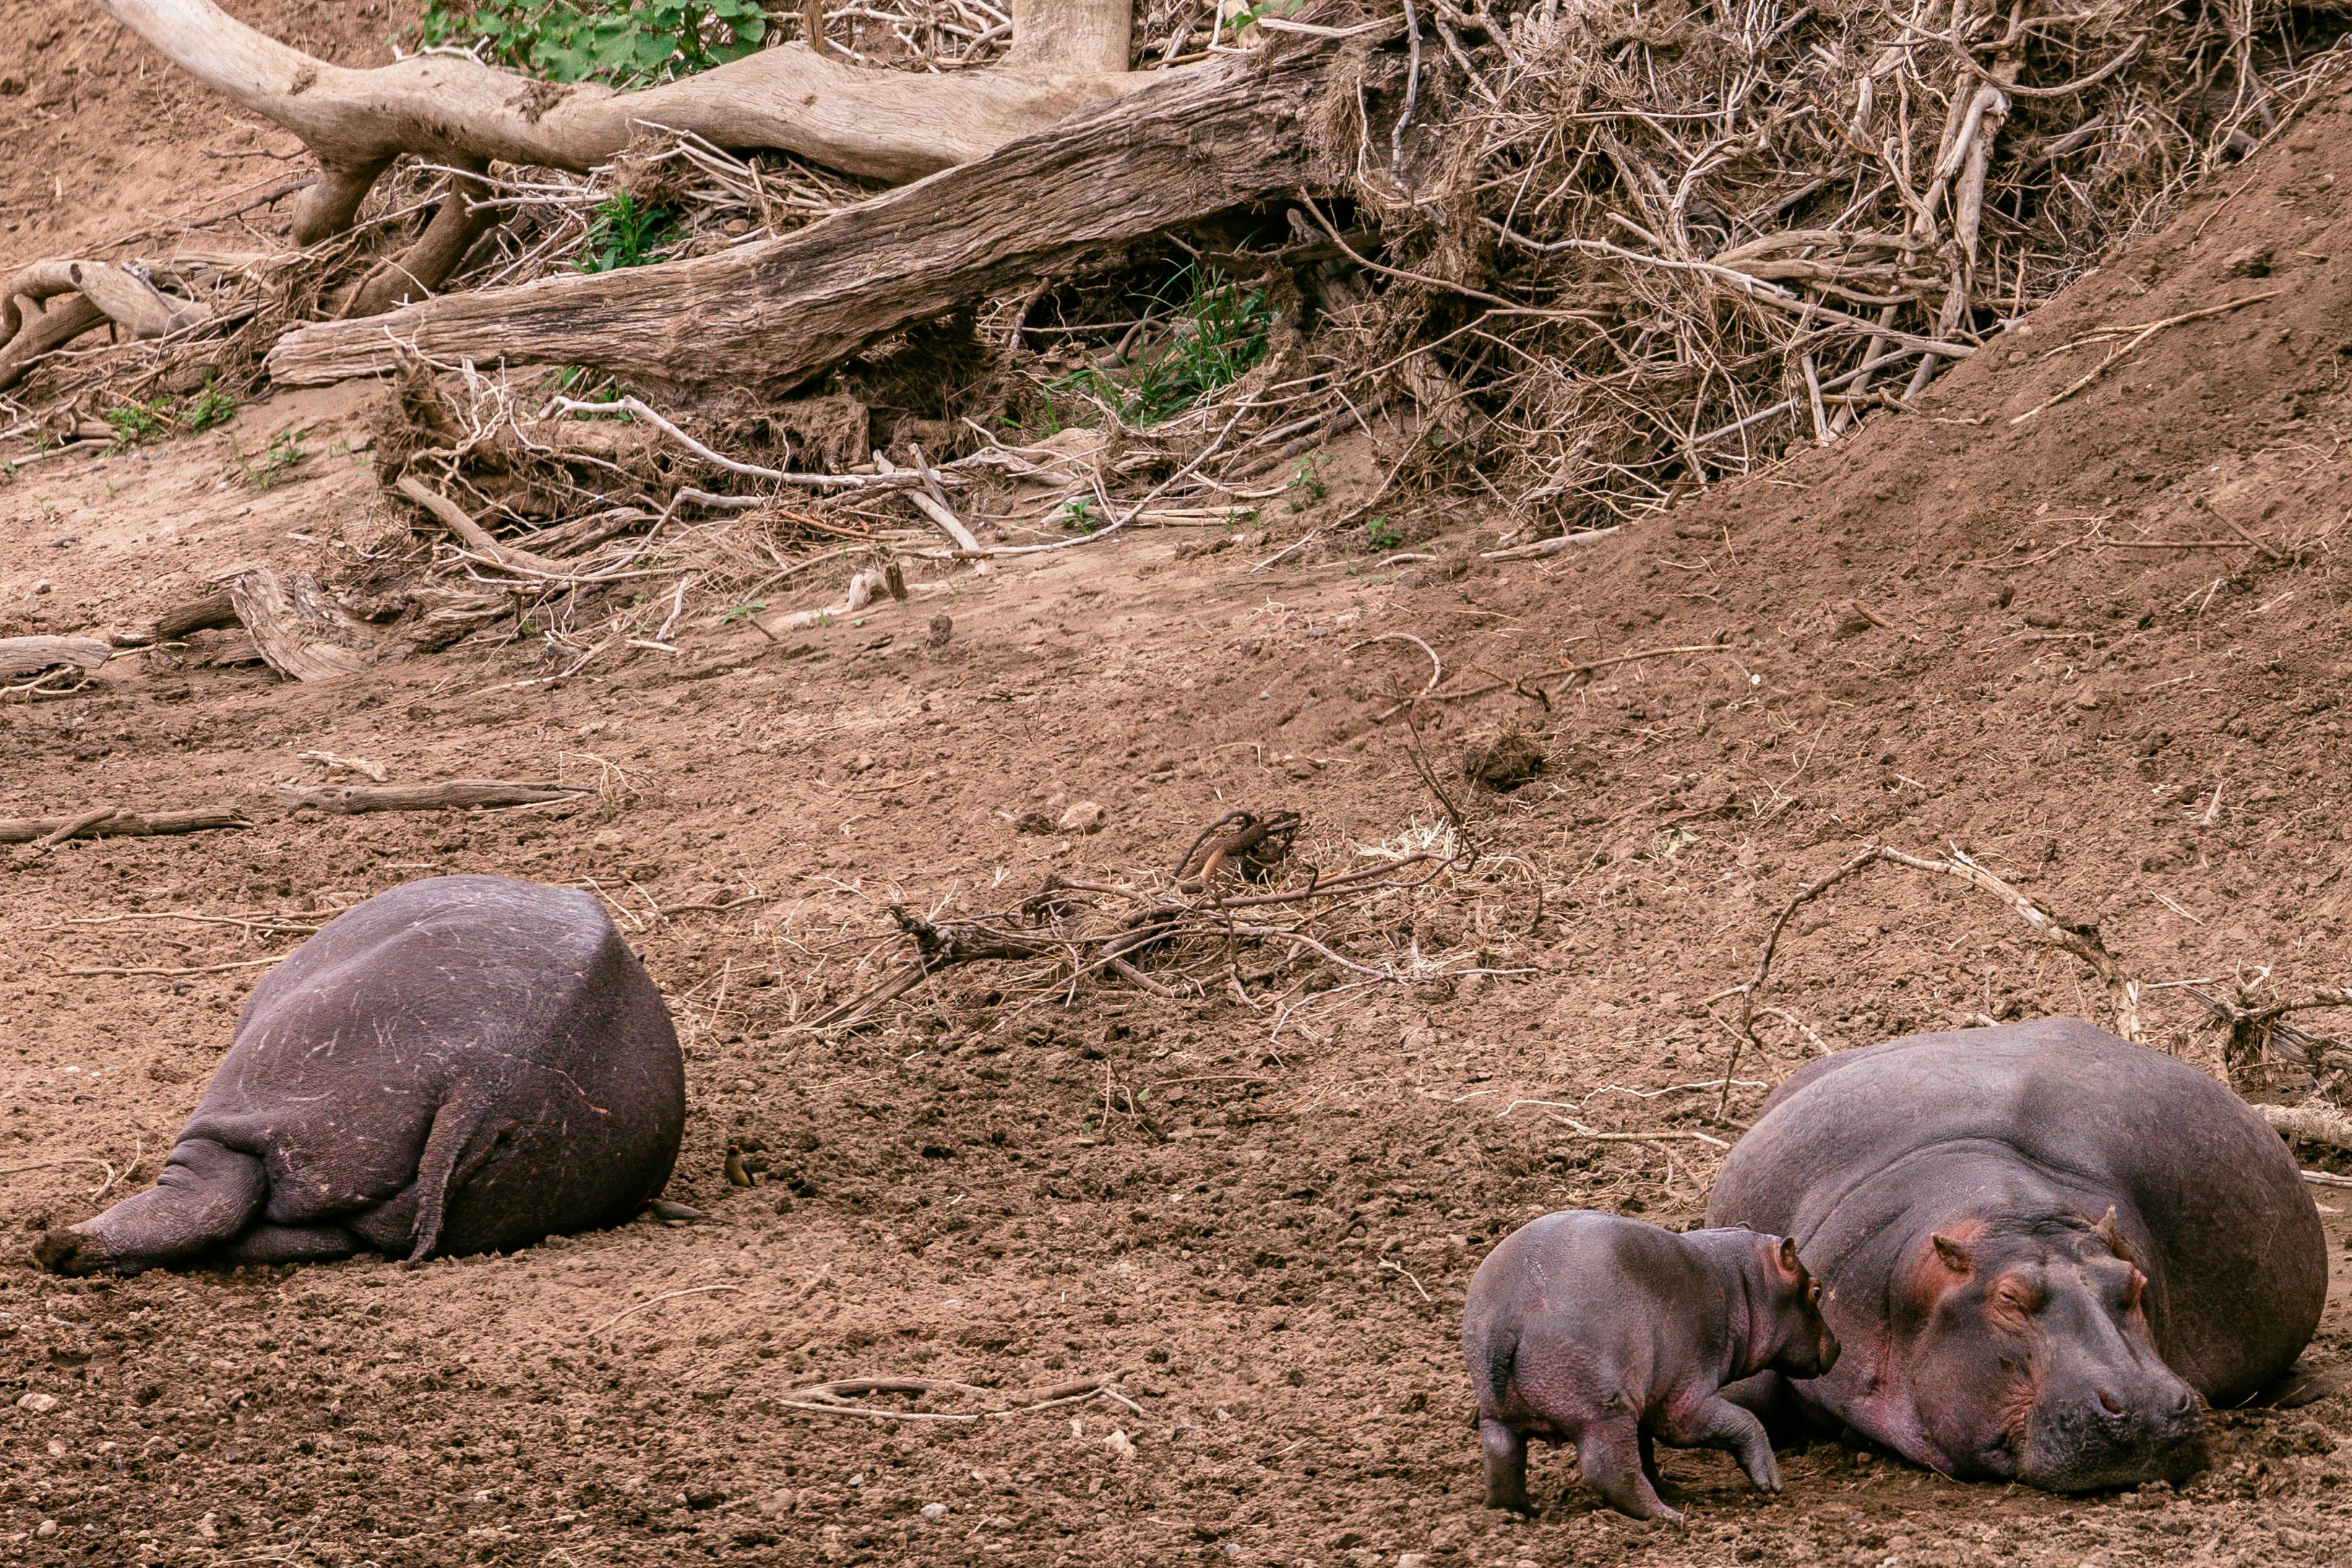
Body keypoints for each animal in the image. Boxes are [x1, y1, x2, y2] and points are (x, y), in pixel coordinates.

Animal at [1468, 1212, 1834, 1523]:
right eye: (1816, 1290)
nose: (1838, 1346)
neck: (1742, 1285)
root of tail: (1509, 1313)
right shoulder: (1682, 1401)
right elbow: (1743, 1422)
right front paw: (1772, 1484)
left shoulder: (1646, 1397)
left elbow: (1646, 1449)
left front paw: (1669, 1484)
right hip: (1602, 1413)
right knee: (1610, 1470)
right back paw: (1671, 1517)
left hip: (1498, 1411)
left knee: (1502, 1458)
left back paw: (1519, 1513)